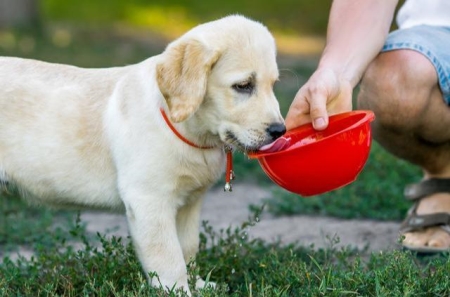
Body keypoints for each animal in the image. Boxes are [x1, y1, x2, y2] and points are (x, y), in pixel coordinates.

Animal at [0, 14, 284, 294]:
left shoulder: (190, 202)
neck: (189, 130)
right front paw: (179, 290)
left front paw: (200, 285)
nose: (279, 131)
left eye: (273, 85)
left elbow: (188, 247)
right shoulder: (149, 200)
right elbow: (169, 258)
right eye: (243, 85)